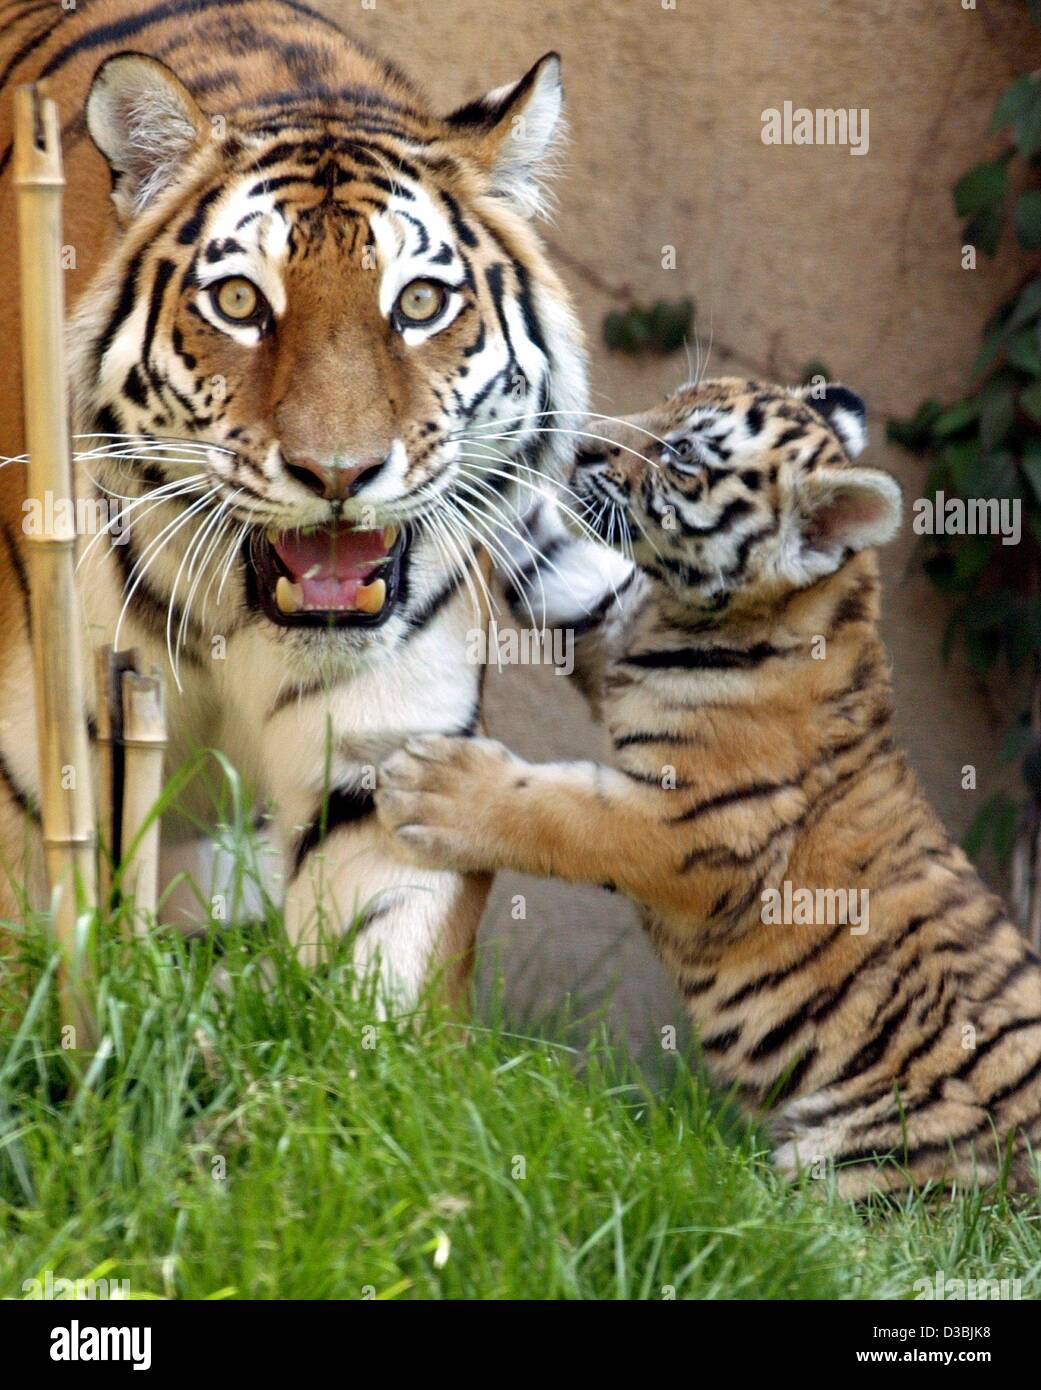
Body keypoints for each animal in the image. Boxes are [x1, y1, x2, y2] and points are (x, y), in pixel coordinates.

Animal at [0, 0, 583, 1006]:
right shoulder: (45, 745)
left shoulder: (385, 765)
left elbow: (370, 1007)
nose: (338, 473)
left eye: (419, 303)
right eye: (239, 301)